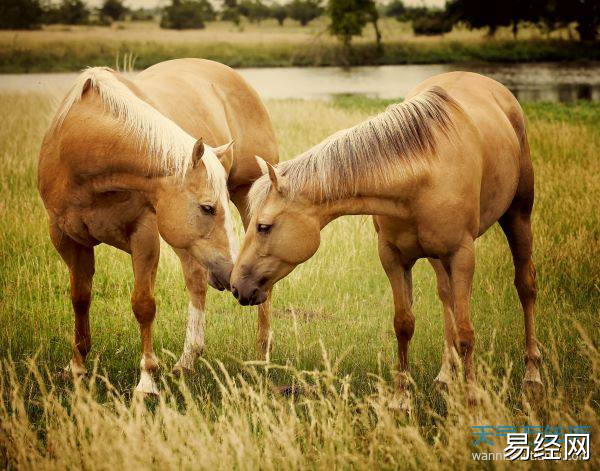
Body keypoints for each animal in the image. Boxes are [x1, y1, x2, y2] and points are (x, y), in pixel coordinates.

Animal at [38, 59, 278, 394]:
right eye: (207, 207)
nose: (231, 274)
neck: (80, 147)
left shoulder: (145, 234)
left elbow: (143, 305)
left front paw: (147, 380)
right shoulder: (66, 238)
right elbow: (80, 298)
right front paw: (76, 367)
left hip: (247, 199)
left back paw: (261, 358)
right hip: (183, 242)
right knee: (196, 280)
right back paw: (187, 361)